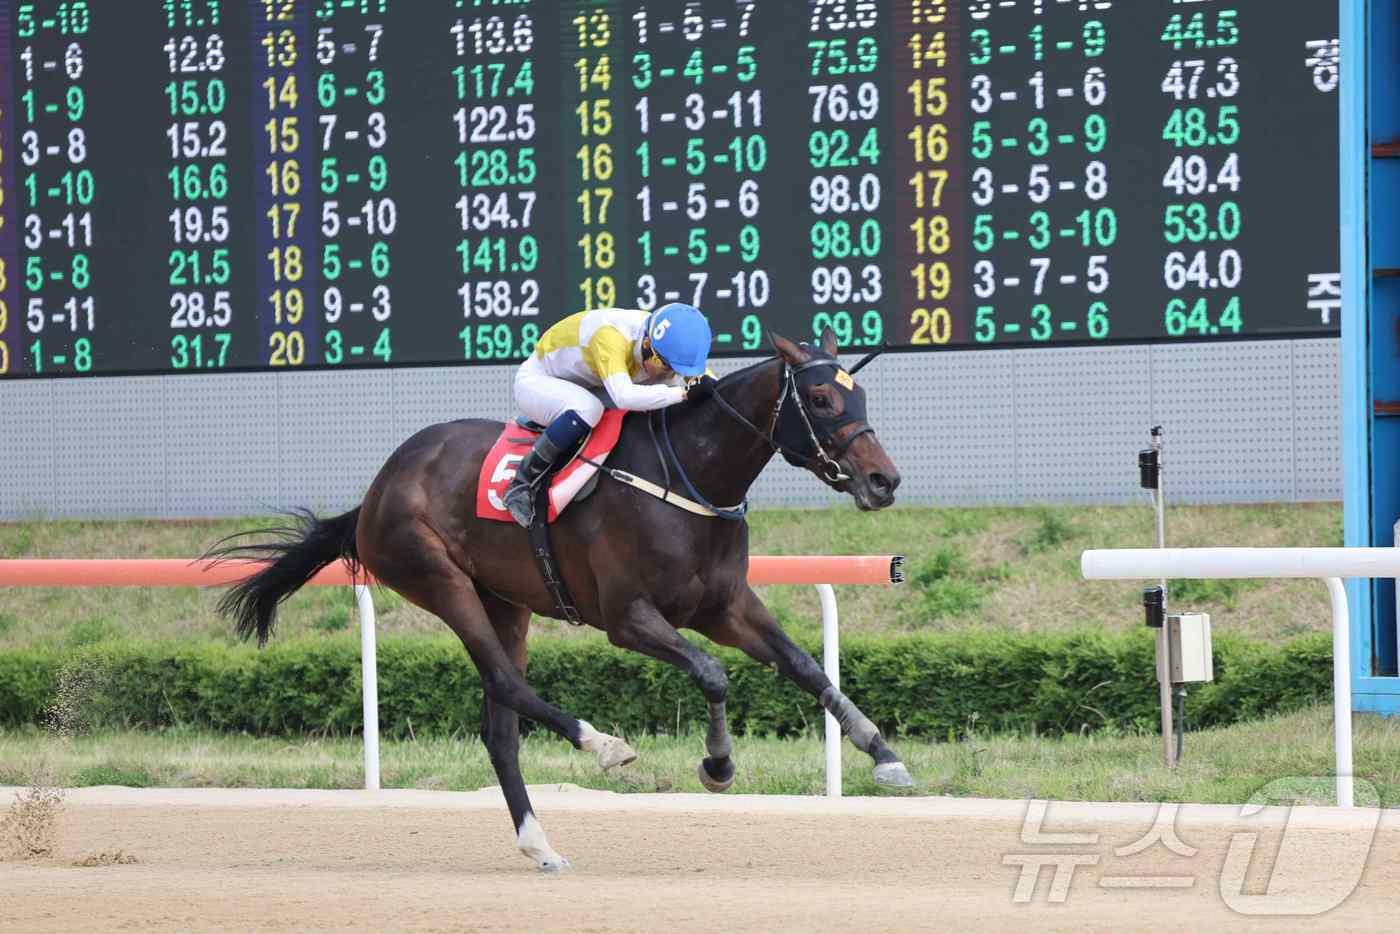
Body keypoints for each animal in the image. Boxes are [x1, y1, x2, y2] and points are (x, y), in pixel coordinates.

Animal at [212, 329, 901, 868]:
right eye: (820, 398)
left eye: (862, 395)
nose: (884, 480)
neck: (687, 479)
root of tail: (378, 487)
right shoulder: (628, 618)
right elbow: (711, 673)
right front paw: (717, 765)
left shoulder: (725, 607)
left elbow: (805, 666)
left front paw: (882, 752)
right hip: (438, 578)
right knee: (506, 684)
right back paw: (602, 745)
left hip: (505, 602)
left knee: (500, 729)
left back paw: (539, 843)